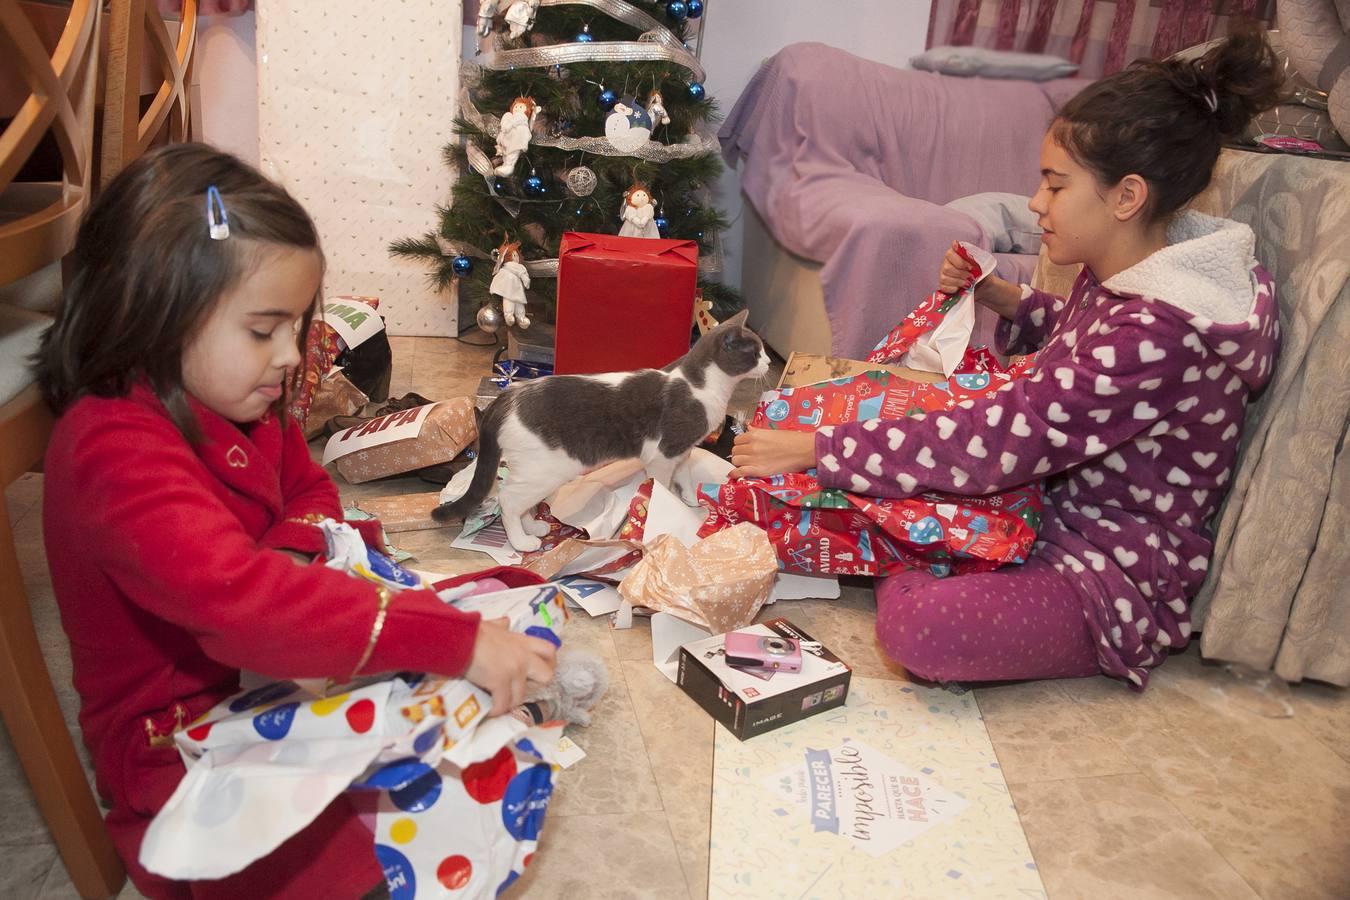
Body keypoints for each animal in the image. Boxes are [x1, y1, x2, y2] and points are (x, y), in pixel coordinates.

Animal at [432, 313, 772, 553]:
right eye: (755, 352)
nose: (769, 362)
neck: (704, 387)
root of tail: (507, 396)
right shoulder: (662, 455)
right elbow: (662, 485)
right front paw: (665, 507)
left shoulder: (683, 451)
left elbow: (685, 477)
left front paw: (689, 501)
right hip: (546, 469)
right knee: (508, 498)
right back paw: (522, 541)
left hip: (531, 469)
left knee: (515, 494)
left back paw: (533, 527)